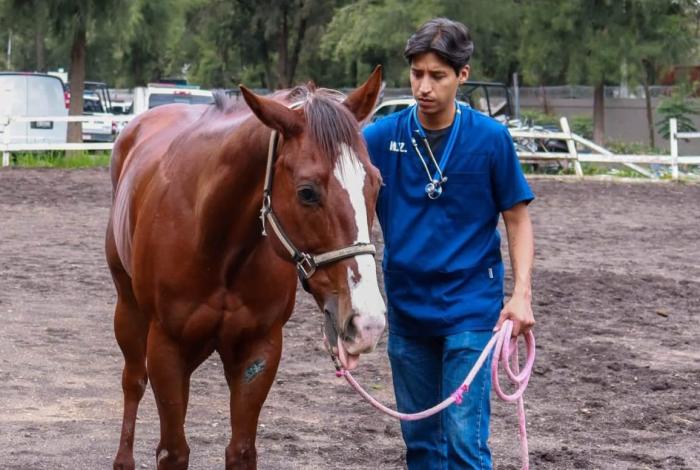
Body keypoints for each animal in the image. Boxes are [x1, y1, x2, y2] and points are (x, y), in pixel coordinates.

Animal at [105, 67, 386, 470]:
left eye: (376, 183)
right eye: (307, 192)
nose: (367, 322)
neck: (217, 242)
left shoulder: (259, 348)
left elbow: (241, 451)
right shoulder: (165, 347)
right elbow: (173, 451)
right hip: (128, 310)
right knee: (133, 381)